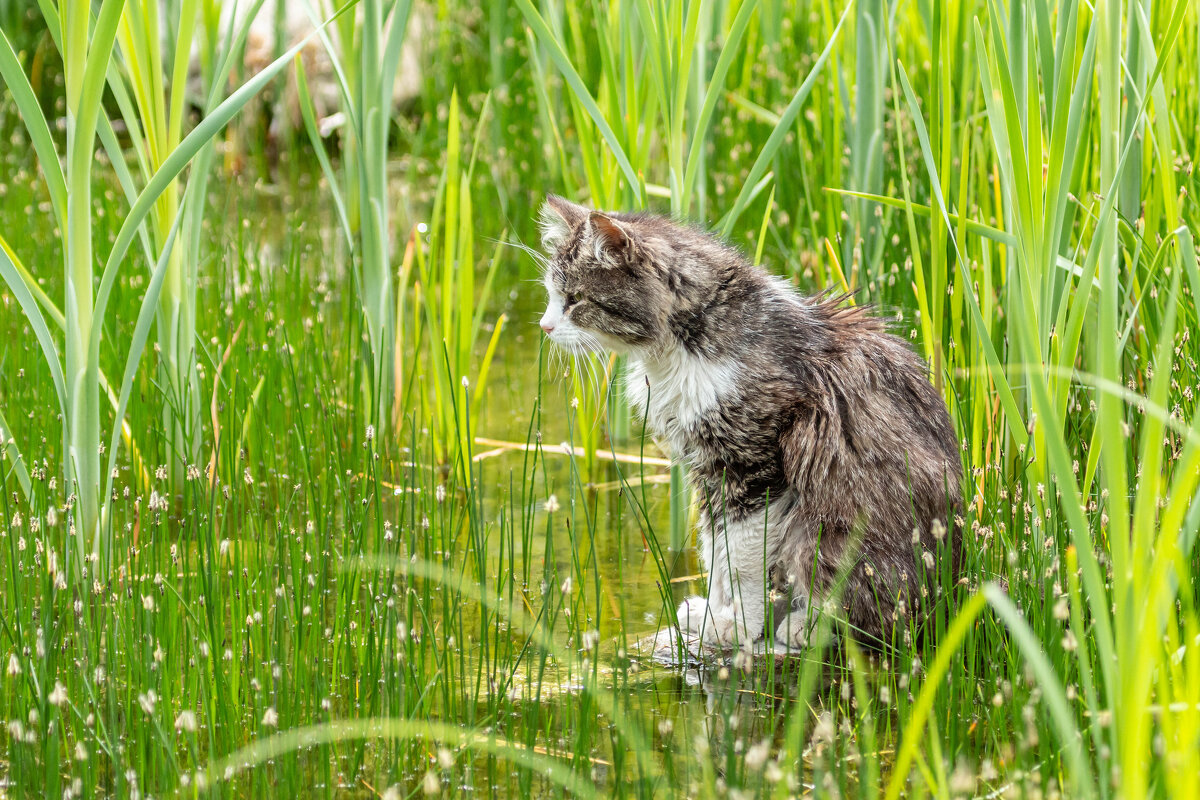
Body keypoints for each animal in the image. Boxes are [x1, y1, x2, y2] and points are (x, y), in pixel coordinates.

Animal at [540, 194, 960, 652]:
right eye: (551, 295)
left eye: (575, 298)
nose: (544, 326)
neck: (684, 345)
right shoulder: (708, 469)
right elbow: (714, 551)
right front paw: (711, 614)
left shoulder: (754, 461)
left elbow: (740, 557)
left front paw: (739, 625)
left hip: (828, 529)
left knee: (876, 618)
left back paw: (806, 626)